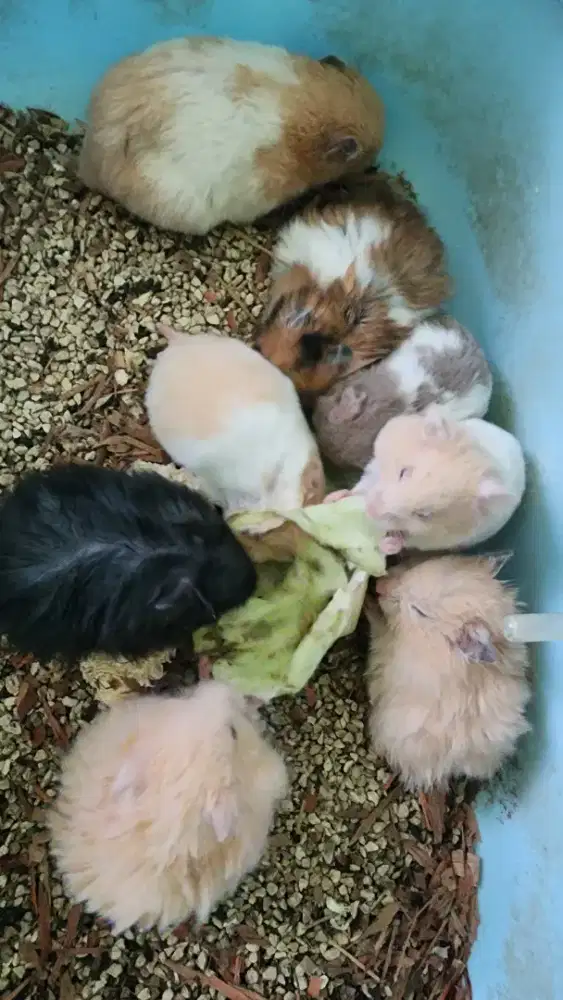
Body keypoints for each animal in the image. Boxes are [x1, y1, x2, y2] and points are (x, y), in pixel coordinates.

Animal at [349, 411, 526, 555]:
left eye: (423, 514)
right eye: (404, 472)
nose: (371, 511)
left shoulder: (433, 540)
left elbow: (406, 539)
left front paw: (389, 544)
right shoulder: (375, 466)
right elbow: (364, 483)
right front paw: (344, 494)